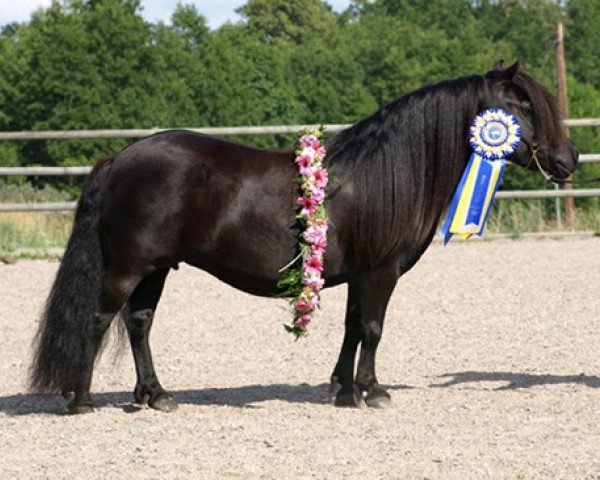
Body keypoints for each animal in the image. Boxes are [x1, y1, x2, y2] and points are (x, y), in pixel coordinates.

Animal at [31, 62, 576, 412]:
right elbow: (373, 329)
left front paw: (344, 389)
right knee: (99, 319)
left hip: (156, 268)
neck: (386, 173)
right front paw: (373, 391)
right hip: (128, 266)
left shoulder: (359, 274)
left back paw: (156, 396)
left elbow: (354, 328)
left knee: (139, 323)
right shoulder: (380, 271)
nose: (568, 159)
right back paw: (82, 400)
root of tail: (121, 157)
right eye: (522, 106)